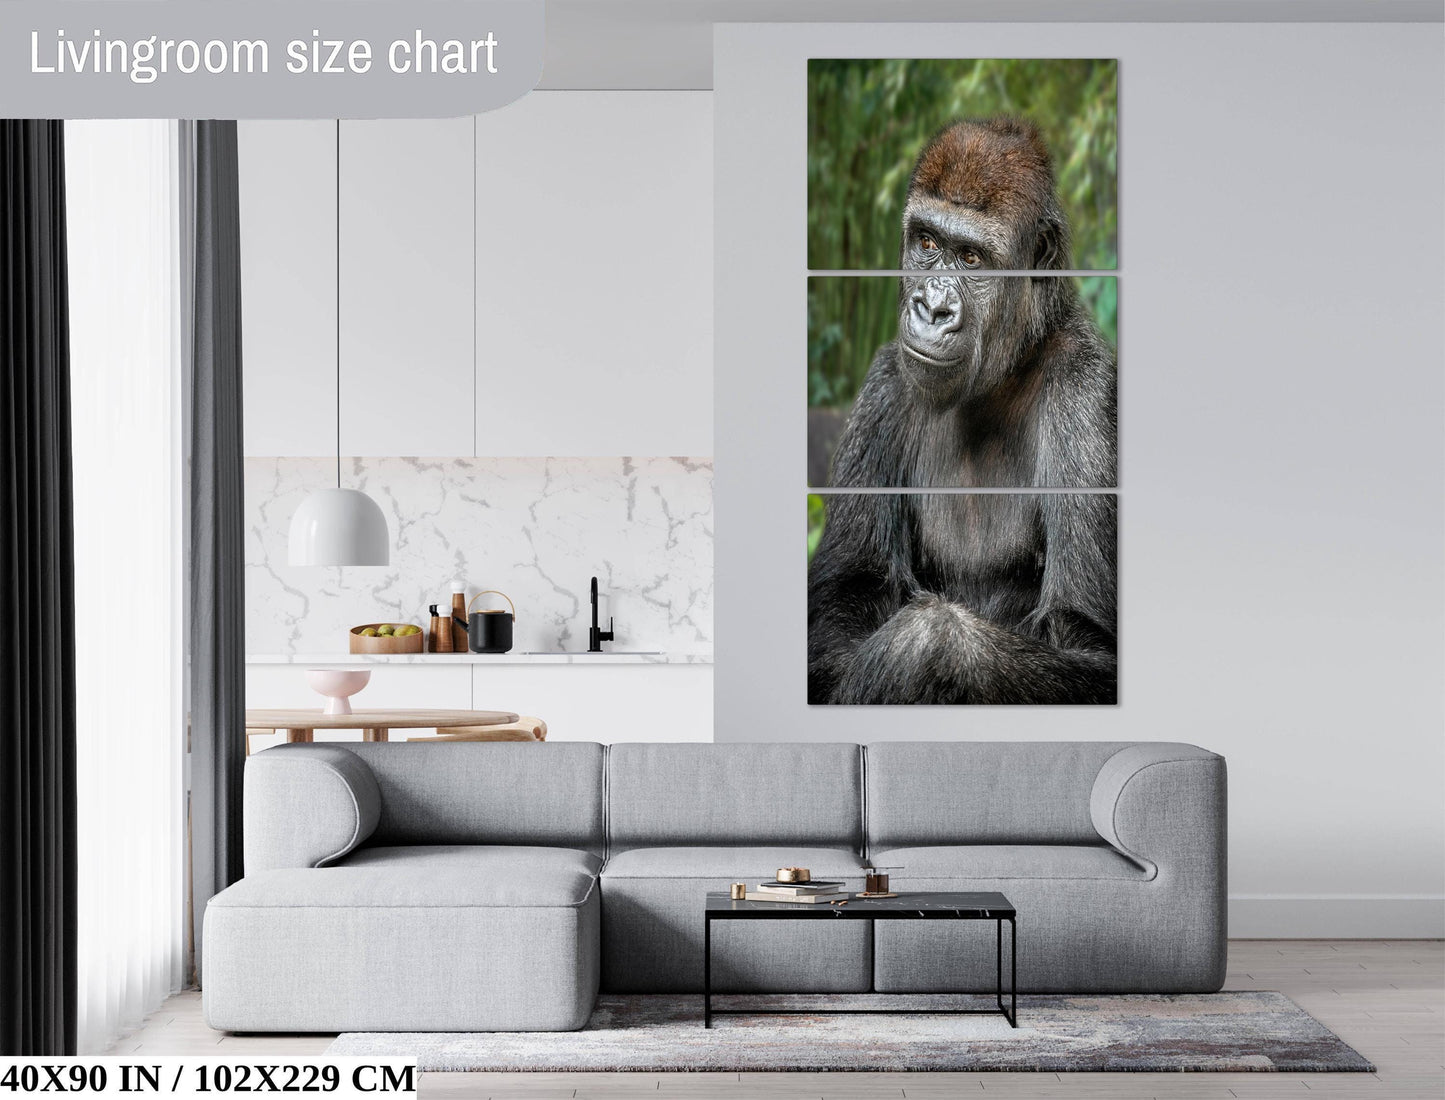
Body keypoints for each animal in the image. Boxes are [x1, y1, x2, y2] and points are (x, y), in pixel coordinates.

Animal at [807, 118, 1116, 705]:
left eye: (972, 259)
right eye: (927, 242)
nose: (931, 308)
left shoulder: (1089, 397)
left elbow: (1091, 641)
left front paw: (917, 650)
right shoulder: (885, 386)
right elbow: (840, 610)